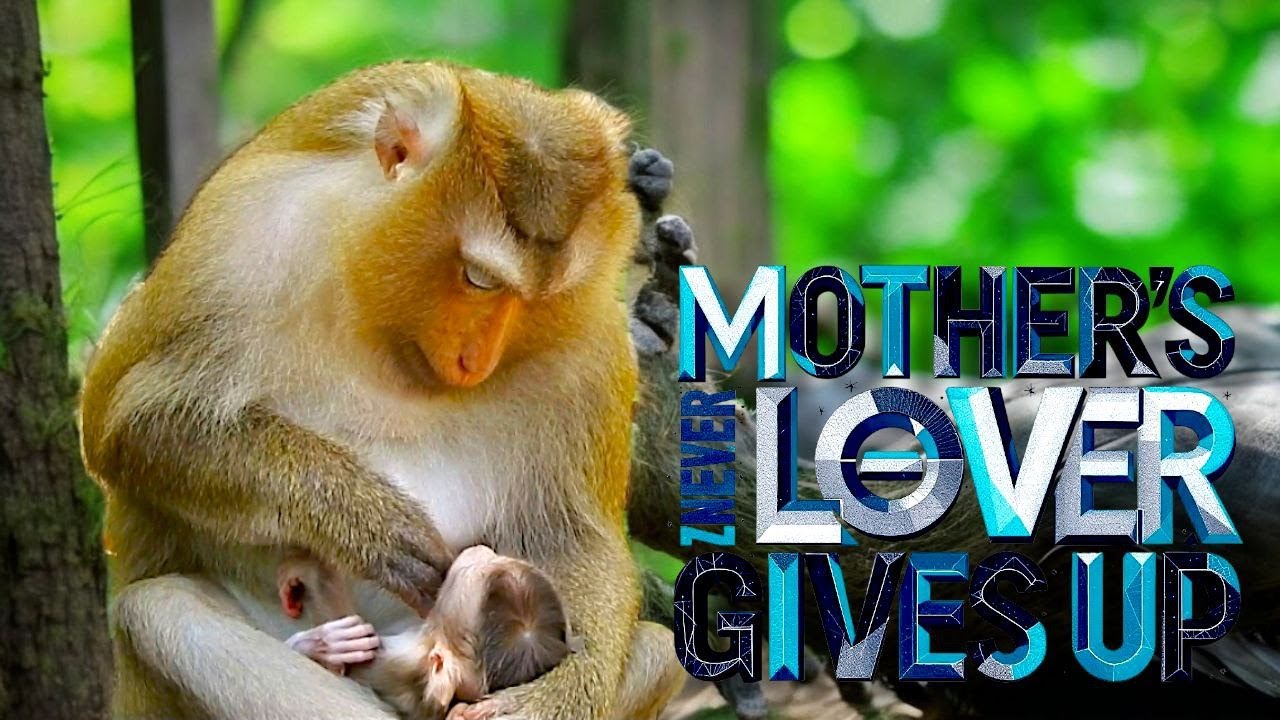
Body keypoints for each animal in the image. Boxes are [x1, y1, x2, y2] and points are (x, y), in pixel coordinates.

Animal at [80, 61, 684, 719]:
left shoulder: (592, 340)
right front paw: (361, 517)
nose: (475, 361)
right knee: (160, 609)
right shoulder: (241, 243)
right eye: (477, 279)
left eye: (539, 302)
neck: (387, 326)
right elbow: (134, 425)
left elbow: (572, 539)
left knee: (660, 651)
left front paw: (546, 700)